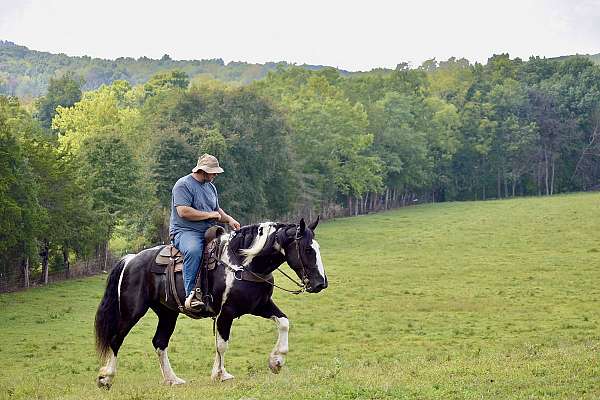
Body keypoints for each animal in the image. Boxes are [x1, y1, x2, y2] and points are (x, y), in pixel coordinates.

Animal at [94, 217, 328, 390]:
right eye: (308, 250)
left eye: (317, 248)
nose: (320, 283)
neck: (243, 264)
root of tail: (131, 259)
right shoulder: (226, 313)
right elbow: (222, 344)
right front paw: (220, 374)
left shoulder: (261, 306)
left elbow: (284, 323)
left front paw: (276, 362)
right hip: (132, 311)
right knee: (116, 339)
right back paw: (106, 378)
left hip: (168, 313)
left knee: (159, 342)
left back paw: (172, 380)